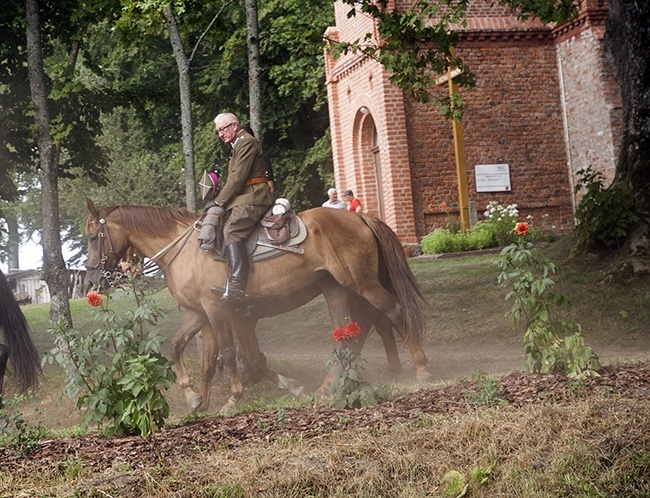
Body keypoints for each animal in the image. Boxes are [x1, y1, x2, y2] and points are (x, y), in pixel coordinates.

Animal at [86, 198, 430, 412]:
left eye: (91, 237)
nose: (91, 278)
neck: (186, 249)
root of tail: (359, 216)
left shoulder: (217, 310)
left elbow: (229, 354)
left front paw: (231, 400)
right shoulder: (201, 314)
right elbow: (189, 352)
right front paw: (197, 400)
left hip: (362, 284)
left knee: (393, 314)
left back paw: (420, 369)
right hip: (337, 289)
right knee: (348, 334)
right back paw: (332, 385)